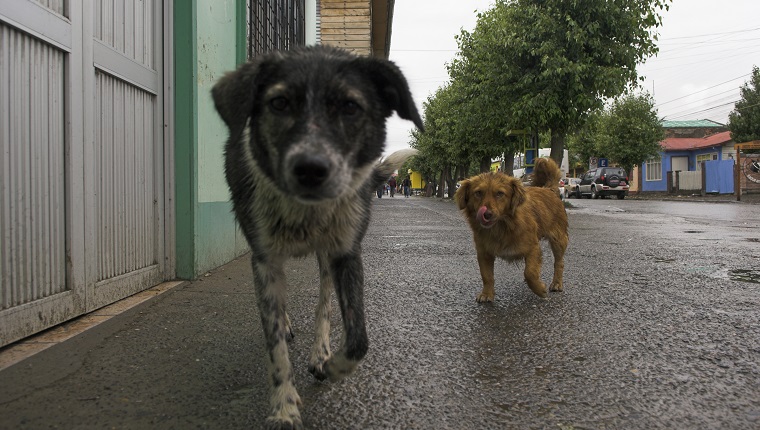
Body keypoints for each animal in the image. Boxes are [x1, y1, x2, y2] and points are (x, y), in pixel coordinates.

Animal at [211, 45, 424, 428]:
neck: (306, 212)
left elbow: (358, 340)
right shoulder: (264, 260)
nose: (310, 169)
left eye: (350, 106)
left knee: (324, 301)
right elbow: (275, 344)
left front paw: (333, 365)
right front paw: (283, 407)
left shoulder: (346, 252)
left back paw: (320, 353)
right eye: (279, 103)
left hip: (327, 257)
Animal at [454, 158, 568, 302]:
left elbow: (530, 273)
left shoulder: (533, 248)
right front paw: (487, 294)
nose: (487, 214)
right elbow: (487, 276)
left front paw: (539, 289)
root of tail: (549, 189)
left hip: (558, 240)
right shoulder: (484, 253)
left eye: (500, 194)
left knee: (559, 262)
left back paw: (557, 283)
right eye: (478, 193)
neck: (502, 227)